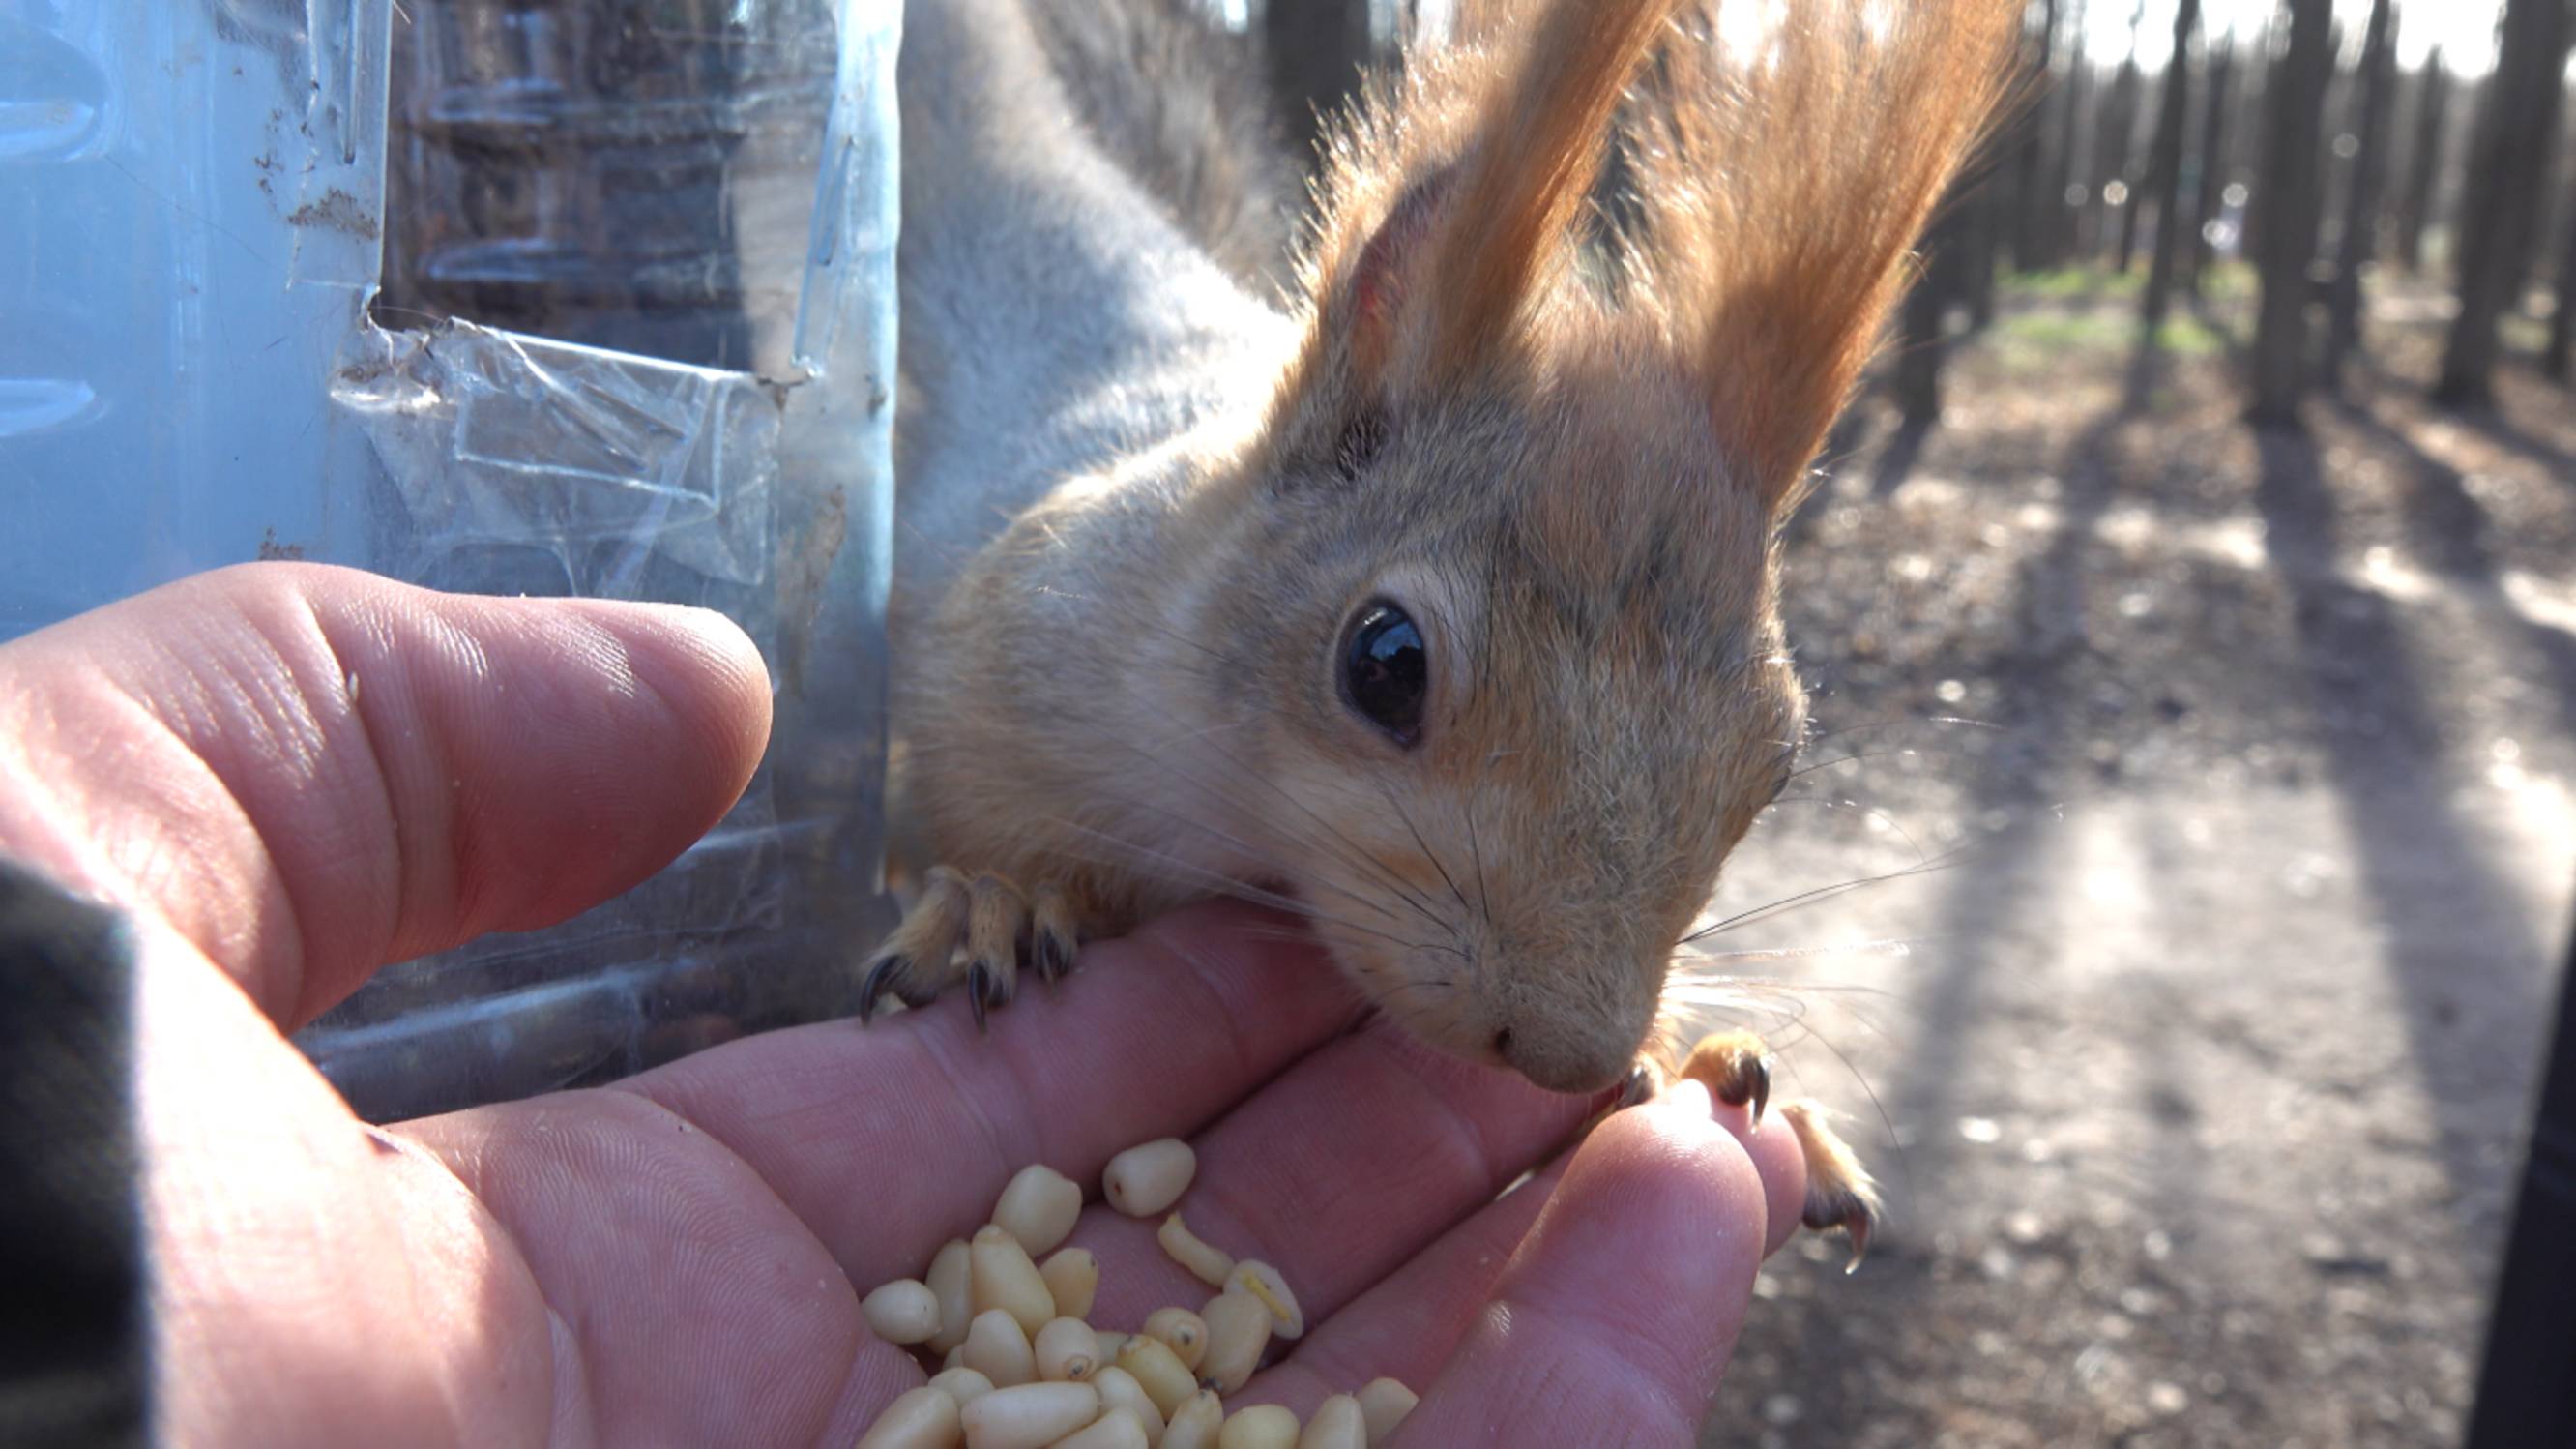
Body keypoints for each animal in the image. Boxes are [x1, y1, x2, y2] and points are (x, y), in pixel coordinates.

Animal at [873, 0, 2020, 1264]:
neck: (1242, 813)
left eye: (1777, 762)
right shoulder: (997, 667)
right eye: (1385, 663)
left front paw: (1702, 1062)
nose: (1571, 1051)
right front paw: (995, 902)